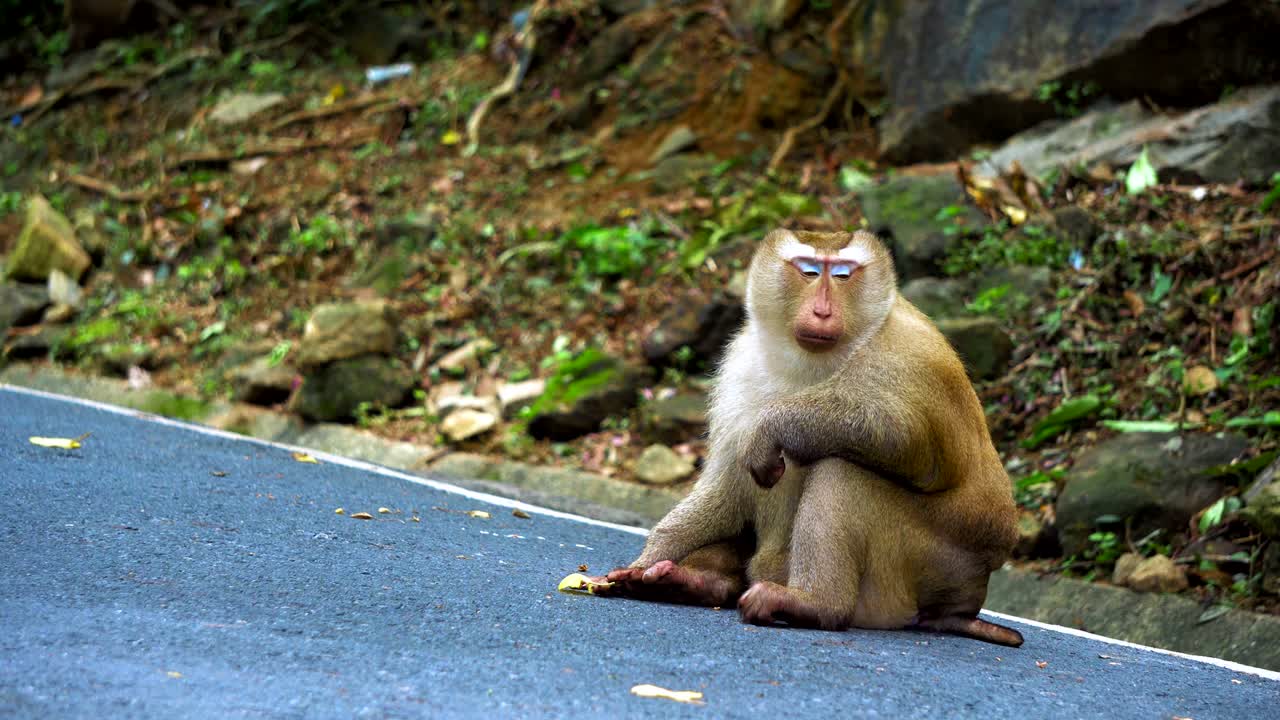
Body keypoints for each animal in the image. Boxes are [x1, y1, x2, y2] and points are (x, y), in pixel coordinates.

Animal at [589, 228, 1024, 647]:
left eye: (844, 275)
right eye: (810, 271)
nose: (822, 310)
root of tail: (965, 600)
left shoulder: (908, 354)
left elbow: (916, 447)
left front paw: (772, 427)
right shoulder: (740, 364)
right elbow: (726, 484)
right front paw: (649, 560)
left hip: (922, 569)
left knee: (843, 469)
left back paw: (815, 604)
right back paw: (694, 583)